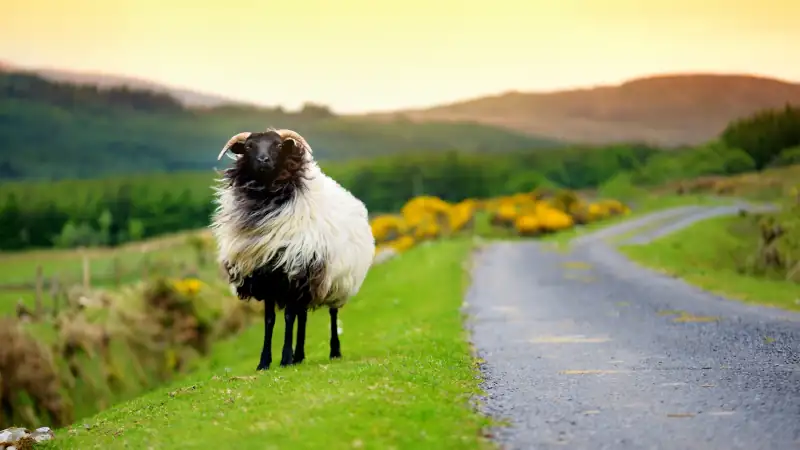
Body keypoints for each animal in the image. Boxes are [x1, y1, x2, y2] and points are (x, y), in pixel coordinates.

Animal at [210, 128, 375, 371]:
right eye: (249, 146)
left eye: (279, 146)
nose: (263, 160)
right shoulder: (266, 276)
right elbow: (270, 320)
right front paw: (265, 362)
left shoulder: (293, 273)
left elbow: (288, 317)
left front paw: (285, 358)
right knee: (303, 316)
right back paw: (300, 355)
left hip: (336, 280)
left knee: (332, 313)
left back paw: (334, 351)